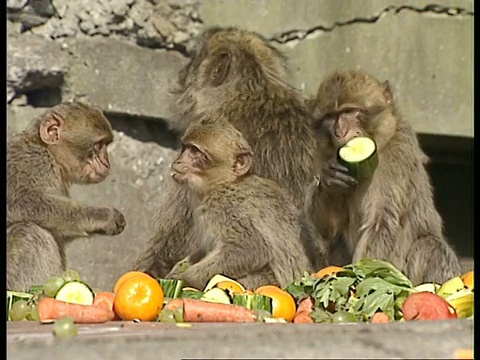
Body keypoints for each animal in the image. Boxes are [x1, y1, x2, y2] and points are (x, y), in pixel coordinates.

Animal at [7, 100, 126, 292]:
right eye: (98, 145)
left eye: (105, 145)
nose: (107, 164)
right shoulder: (32, 163)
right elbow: (19, 203)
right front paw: (104, 216)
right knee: (29, 233)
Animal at [164, 119, 318, 292]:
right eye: (186, 148)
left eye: (195, 152)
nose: (178, 161)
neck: (224, 183)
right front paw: (178, 269)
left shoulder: (224, 206)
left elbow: (250, 250)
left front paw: (184, 278)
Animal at [308, 69, 462, 284]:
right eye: (332, 116)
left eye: (350, 111)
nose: (340, 132)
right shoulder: (323, 155)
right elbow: (329, 226)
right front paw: (330, 181)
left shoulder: (397, 154)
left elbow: (381, 221)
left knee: (429, 247)